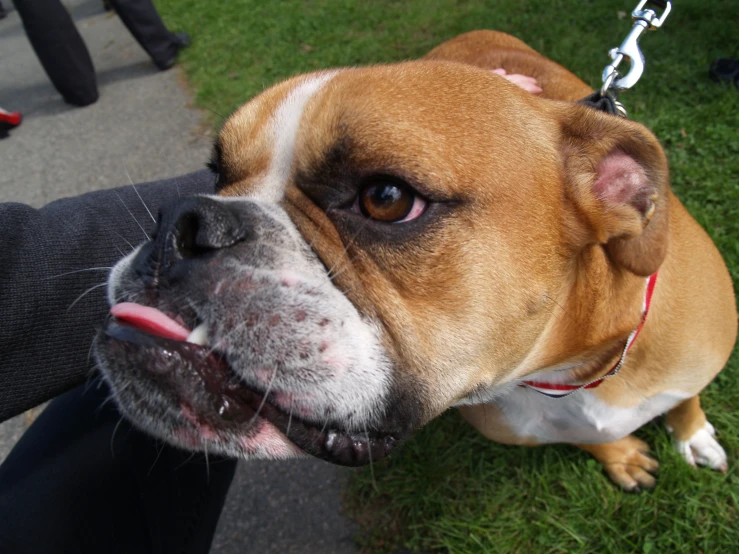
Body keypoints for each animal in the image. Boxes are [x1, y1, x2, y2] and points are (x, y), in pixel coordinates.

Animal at [95, 31, 736, 488]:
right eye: (217, 175)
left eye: (387, 198)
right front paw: (619, 455)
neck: (567, 370)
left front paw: (692, 436)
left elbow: (686, 401)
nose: (179, 221)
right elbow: (589, 437)